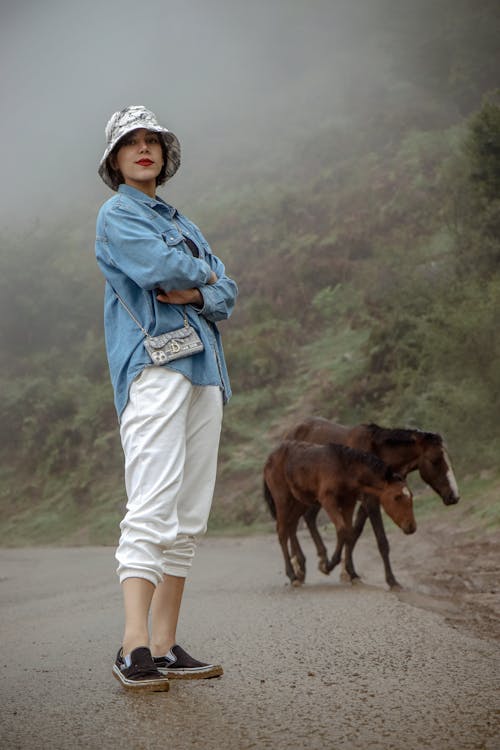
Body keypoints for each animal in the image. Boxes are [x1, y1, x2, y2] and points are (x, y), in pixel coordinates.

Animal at [264, 440, 416, 588]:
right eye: (397, 497)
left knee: (292, 525)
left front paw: (352, 574)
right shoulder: (328, 500)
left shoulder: (349, 502)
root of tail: (270, 457)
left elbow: (349, 533)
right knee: (282, 532)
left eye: (411, 496)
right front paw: (327, 566)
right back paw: (293, 576)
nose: (411, 527)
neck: (344, 468)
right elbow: (342, 530)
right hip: (283, 499)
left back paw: (300, 568)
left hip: (300, 501)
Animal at [284, 420, 458, 592]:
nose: (454, 496)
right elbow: (381, 541)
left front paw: (349, 572)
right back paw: (300, 567)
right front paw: (392, 581)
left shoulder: (367, 502)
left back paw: (311, 563)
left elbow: (353, 533)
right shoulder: (370, 501)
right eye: (435, 460)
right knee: (293, 523)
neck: (378, 454)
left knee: (307, 518)